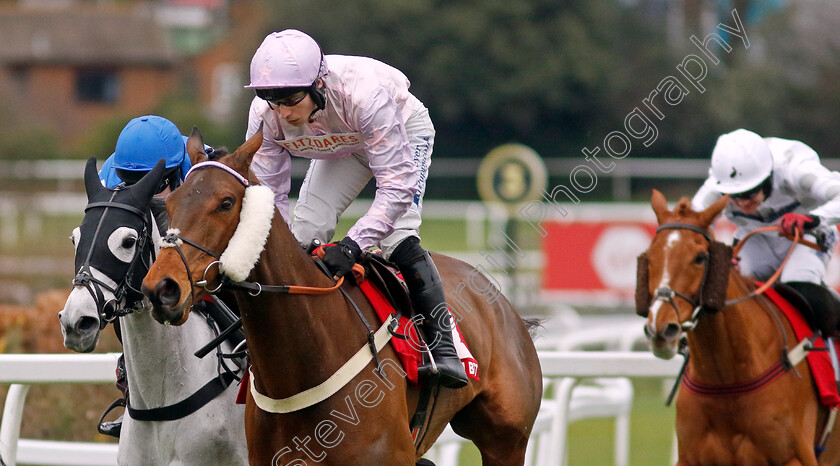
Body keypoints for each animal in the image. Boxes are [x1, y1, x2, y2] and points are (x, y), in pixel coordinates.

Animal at [141, 129, 540, 464]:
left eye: (225, 202)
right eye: (170, 202)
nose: (162, 288)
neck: (301, 369)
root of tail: (503, 305)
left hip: (506, 441)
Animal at [636, 190, 840, 466]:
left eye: (700, 257)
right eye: (649, 256)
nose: (660, 329)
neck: (727, 379)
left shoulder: (796, 458)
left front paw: (798, 220)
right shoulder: (690, 458)